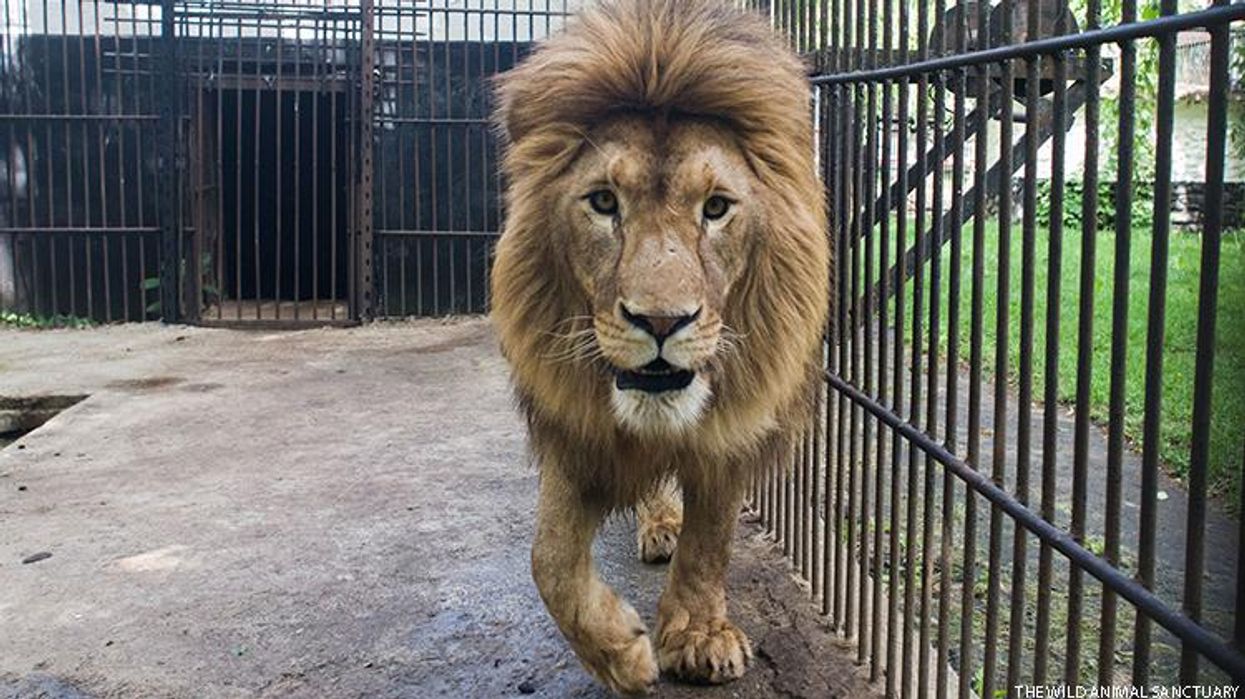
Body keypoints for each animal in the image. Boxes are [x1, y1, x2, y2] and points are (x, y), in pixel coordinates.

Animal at [490, 0, 830, 693]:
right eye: (603, 201)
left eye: (717, 207)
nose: (662, 321)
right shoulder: (576, 428)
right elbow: (551, 557)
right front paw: (620, 653)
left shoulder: (733, 431)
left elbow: (710, 540)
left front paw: (698, 637)